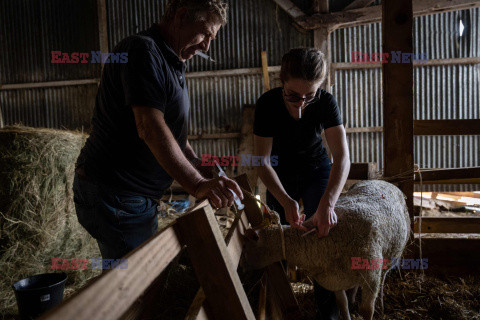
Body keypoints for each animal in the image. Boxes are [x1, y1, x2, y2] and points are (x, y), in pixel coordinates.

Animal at [246, 180, 410, 320]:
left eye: (247, 245)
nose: (243, 270)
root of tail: (383, 181)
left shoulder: (371, 277)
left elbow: (366, 310)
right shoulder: (334, 278)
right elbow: (342, 305)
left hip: (390, 257)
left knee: (383, 279)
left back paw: (381, 304)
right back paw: (353, 298)